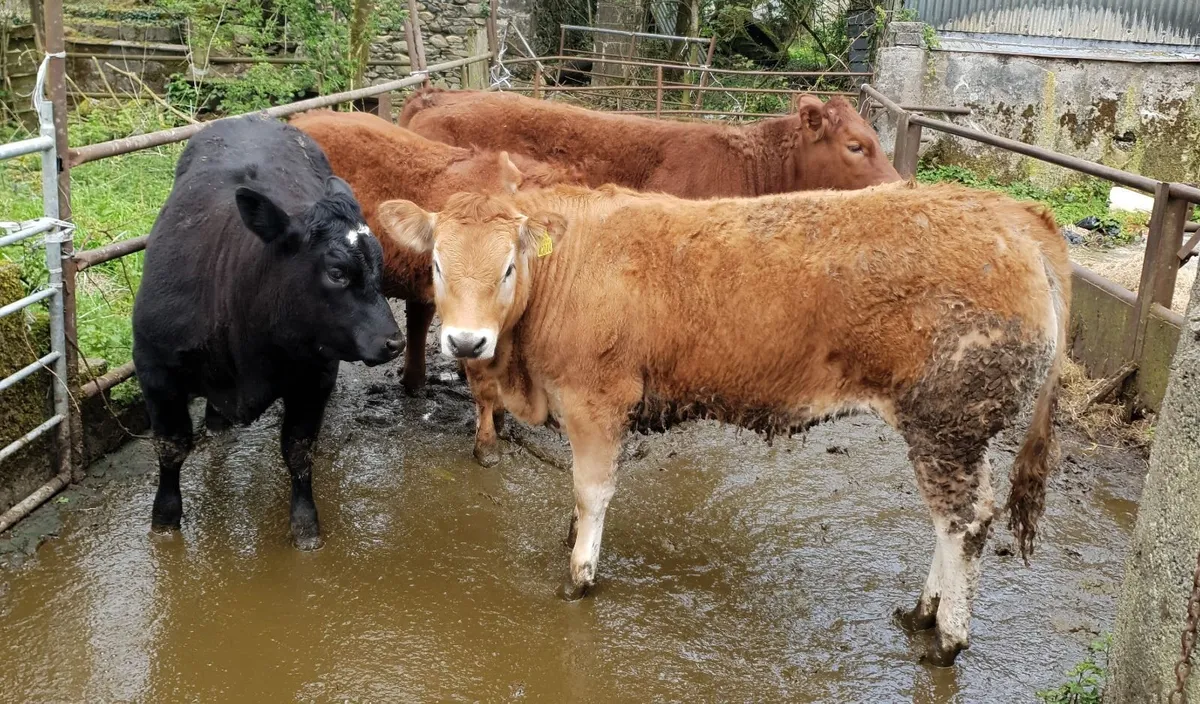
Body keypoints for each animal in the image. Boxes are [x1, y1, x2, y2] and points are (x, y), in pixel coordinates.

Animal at [132, 114, 403, 551]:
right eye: (336, 272)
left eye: (379, 264)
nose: (394, 342)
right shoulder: (154, 368)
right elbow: (171, 447)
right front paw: (164, 520)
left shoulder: (315, 376)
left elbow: (298, 450)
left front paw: (306, 526)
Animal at [376, 181, 1070, 666]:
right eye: (437, 265)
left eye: (508, 267)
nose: (466, 341)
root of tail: (1015, 216)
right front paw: (571, 541)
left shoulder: (597, 399)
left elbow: (590, 490)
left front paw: (579, 574)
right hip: (955, 431)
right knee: (957, 521)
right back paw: (923, 611)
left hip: (947, 424)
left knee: (965, 523)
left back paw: (947, 637)